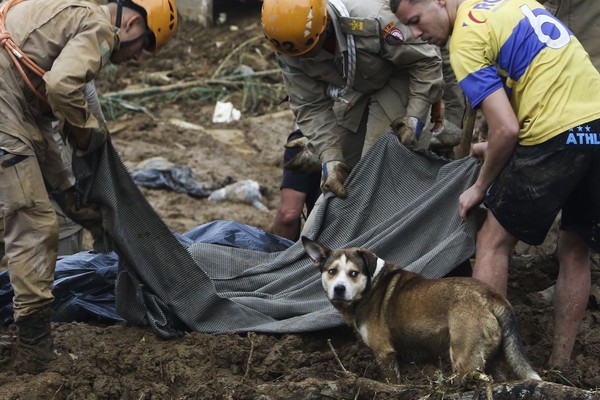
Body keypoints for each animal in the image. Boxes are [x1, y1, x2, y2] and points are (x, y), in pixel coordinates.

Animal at [302, 238, 540, 384]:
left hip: (464, 355)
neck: (371, 285)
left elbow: (393, 382)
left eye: (354, 273)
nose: (339, 289)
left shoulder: (385, 353)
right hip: (494, 357)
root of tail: (492, 296)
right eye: (332, 271)